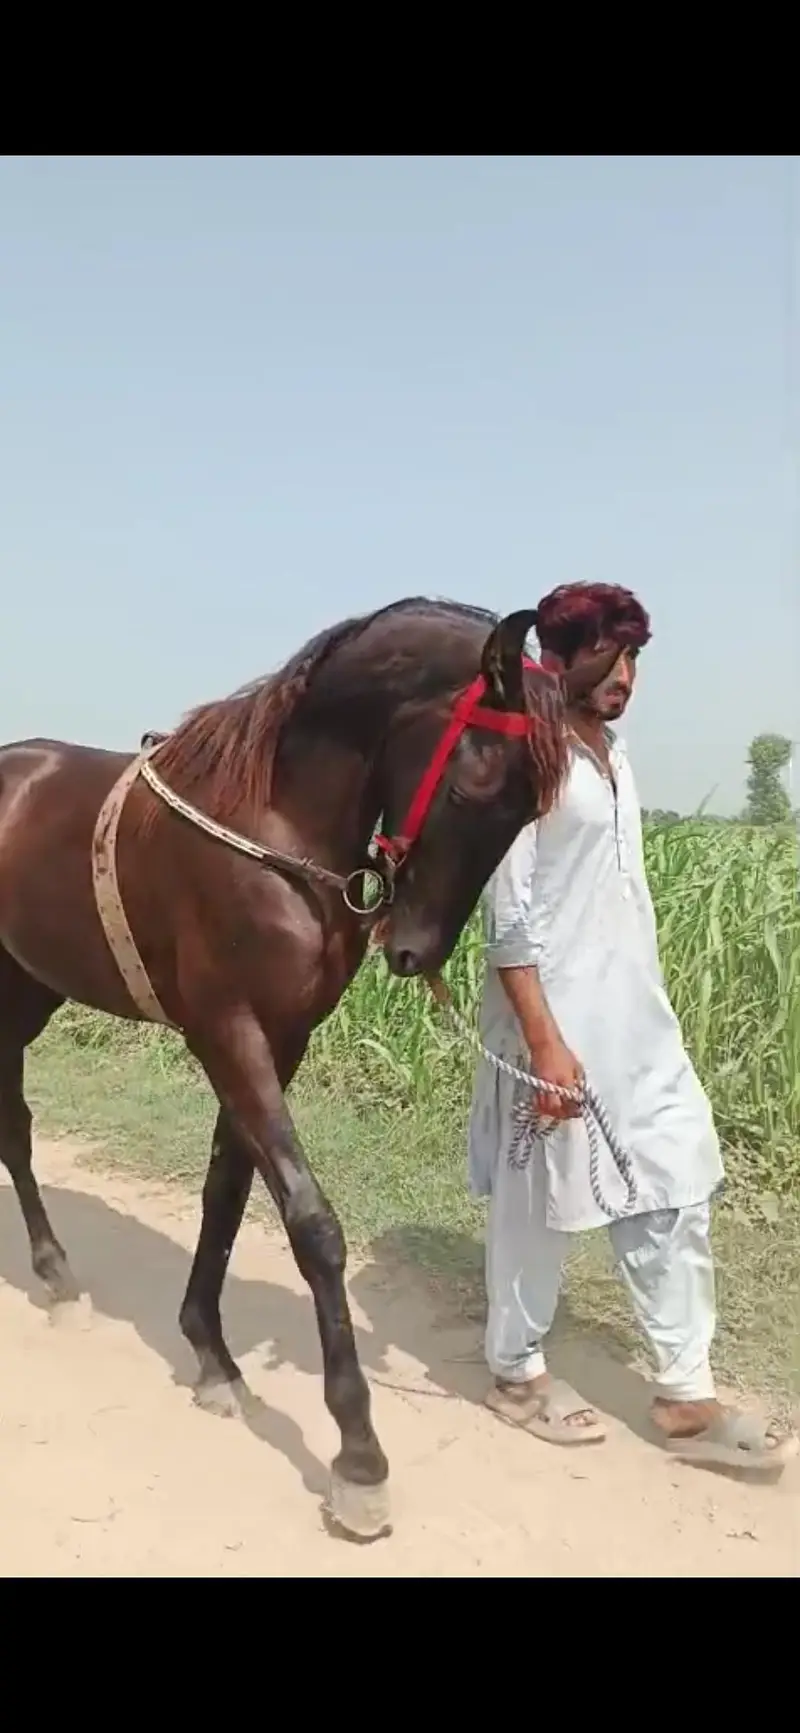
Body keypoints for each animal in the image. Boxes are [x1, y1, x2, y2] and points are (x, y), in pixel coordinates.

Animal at [0, 596, 615, 1539]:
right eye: (473, 783)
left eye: (528, 814)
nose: (412, 950)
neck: (270, 829)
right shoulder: (227, 1032)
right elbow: (312, 1223)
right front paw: (359, 1455)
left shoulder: (279, 1038)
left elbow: (227, 1189)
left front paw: (212, 1354)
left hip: (33, 983)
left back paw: (57, 1274)